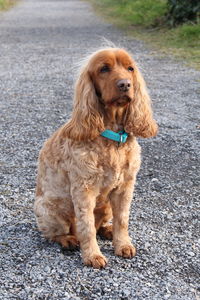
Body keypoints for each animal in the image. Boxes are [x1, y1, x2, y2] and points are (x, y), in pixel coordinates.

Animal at [34, 48, 158, 268]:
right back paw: (68, 240)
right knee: (55, 233)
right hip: (48, 208)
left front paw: (123, 244)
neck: (112, 136)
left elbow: (122, 220)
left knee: (103, 223)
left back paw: (107, 230)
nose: (125, 84)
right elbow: (87, 226)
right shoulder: (84, 189)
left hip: (106, 205)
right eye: (104, 69)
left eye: (130, 68)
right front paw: (93, 255)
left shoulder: (125, 187)